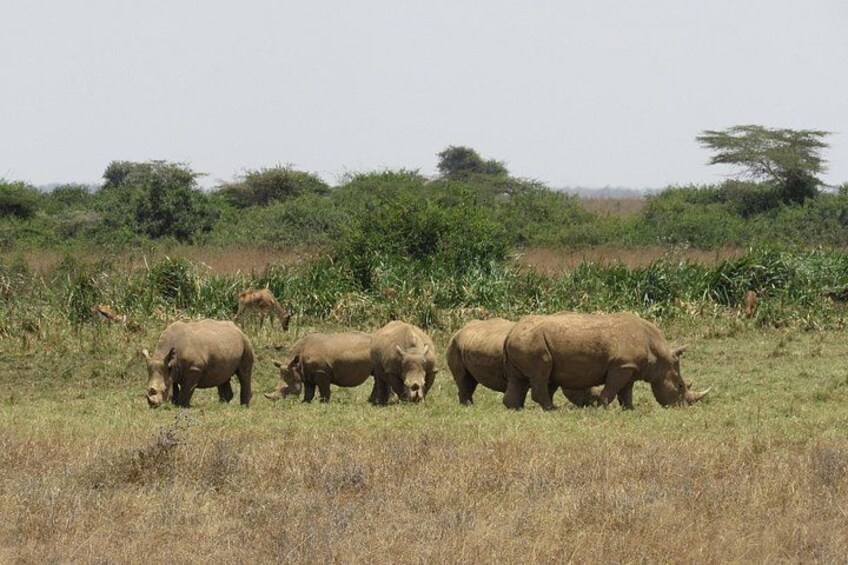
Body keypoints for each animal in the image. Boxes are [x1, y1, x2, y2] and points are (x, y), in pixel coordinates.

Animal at [447, 318, 609, 407]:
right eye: (586, 388)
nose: (592, 404)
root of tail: (460, 329)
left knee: (470, 380)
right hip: (454, 344)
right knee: (464, 379)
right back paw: (468, 406)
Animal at [503, 312, 710, 410]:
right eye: (680, 386)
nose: (682, 406)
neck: (659, 355)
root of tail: (511, 332)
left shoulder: (630, 367)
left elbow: (626, 391)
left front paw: (630, 409)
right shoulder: (622, 365)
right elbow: (612, 389)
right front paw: (603, 407)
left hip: (524, 339)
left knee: (519, 379)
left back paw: (514, 409)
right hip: (533, 342)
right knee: (541, 374)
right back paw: (552, 409)